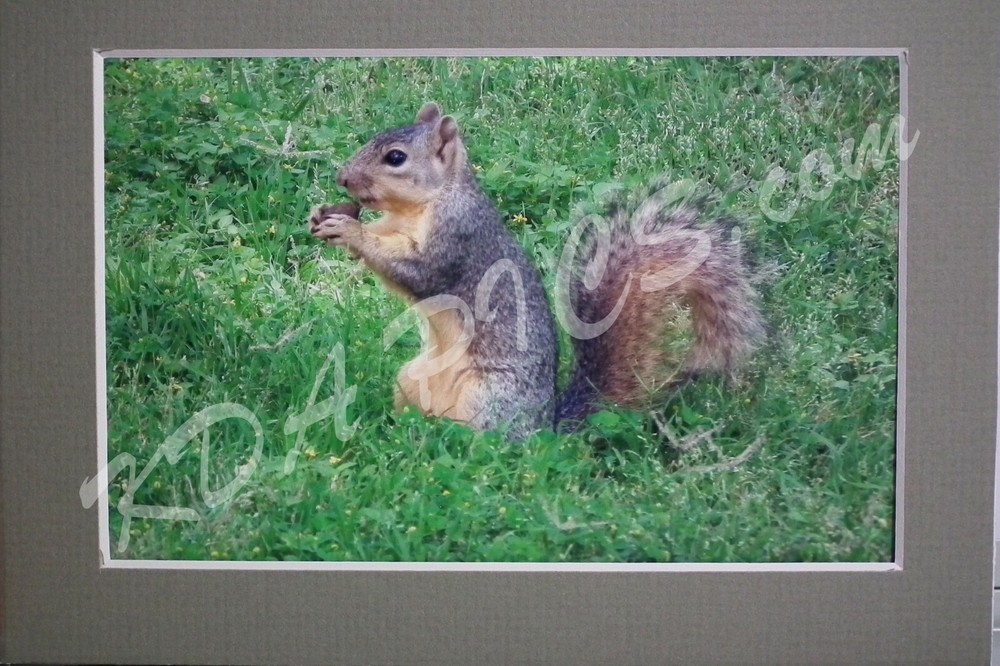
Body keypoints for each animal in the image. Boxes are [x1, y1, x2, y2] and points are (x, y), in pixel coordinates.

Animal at [309, 103, 764, 440]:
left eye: (396, 158)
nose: (342, 178)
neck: (423, 206)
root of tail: (545, 428)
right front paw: (324, 217)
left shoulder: (457, 240)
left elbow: (419, 274)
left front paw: (349, 230)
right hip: (411, 379)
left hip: (486, 398)